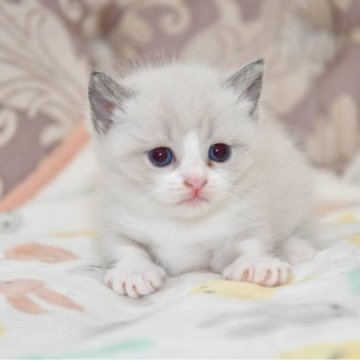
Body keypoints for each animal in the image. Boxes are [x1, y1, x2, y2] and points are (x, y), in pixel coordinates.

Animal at [88, 59, 316, 298]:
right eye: (159, 155)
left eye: (220, 151)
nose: (195, 180)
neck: (185, 225)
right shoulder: (114, 217)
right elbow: (126, 248)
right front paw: (134, 272)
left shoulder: (250, 214)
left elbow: (249, 245)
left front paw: (258, 264)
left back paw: (297, 249)